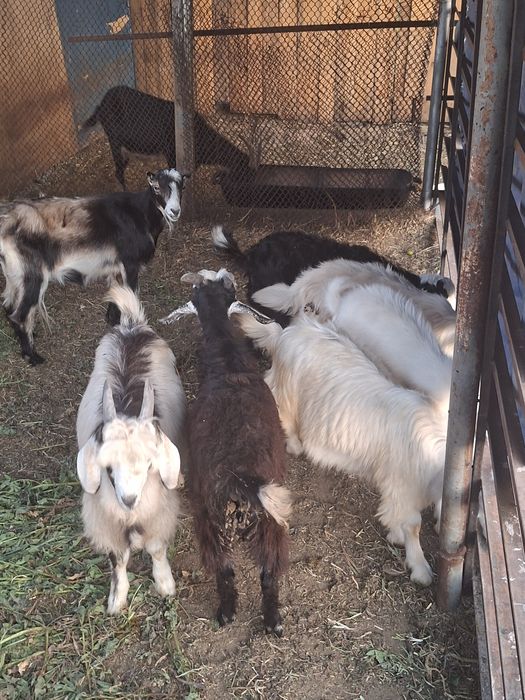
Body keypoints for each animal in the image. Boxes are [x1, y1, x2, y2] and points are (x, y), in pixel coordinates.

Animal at [0, 168, 186, 364]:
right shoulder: (130, 263)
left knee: (8, 304)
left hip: (14, 273)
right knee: (19, 315)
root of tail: (6, 220)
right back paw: (33, 357)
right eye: (156, 187)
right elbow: (131, 294)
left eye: (182, 186)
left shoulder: (115, 267)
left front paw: (113, 320)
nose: (174, 211)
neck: (140, 214)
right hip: (32, 273)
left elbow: (118, 293)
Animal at [76, 285, 186, 614]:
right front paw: (117, 599)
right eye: (107, 466)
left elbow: (156, 548)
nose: (128, 499)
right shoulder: (106, 522)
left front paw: (165, 585)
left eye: (151, 463)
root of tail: (131, 326)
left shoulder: (159, 512)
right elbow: (118, 558)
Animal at [82, 85, 252, 189]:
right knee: (118, 173)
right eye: (242, 169)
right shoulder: (171, 153)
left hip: (125, 149)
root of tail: (100, 106)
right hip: (114, 142)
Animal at [160, 269, 291, 635]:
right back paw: (268, 620)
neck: (228, 363)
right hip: (262, 523)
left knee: (229, 571)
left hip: (215, 522)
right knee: (263, 574)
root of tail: (240, 482)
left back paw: (233, 613)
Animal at [232, 291, 451, 586]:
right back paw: (295, 445)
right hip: (287, 392)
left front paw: (395, 533)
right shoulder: (403, 486)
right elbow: (412, 524)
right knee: (284, 416)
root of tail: (284, 334)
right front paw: (420, 568)